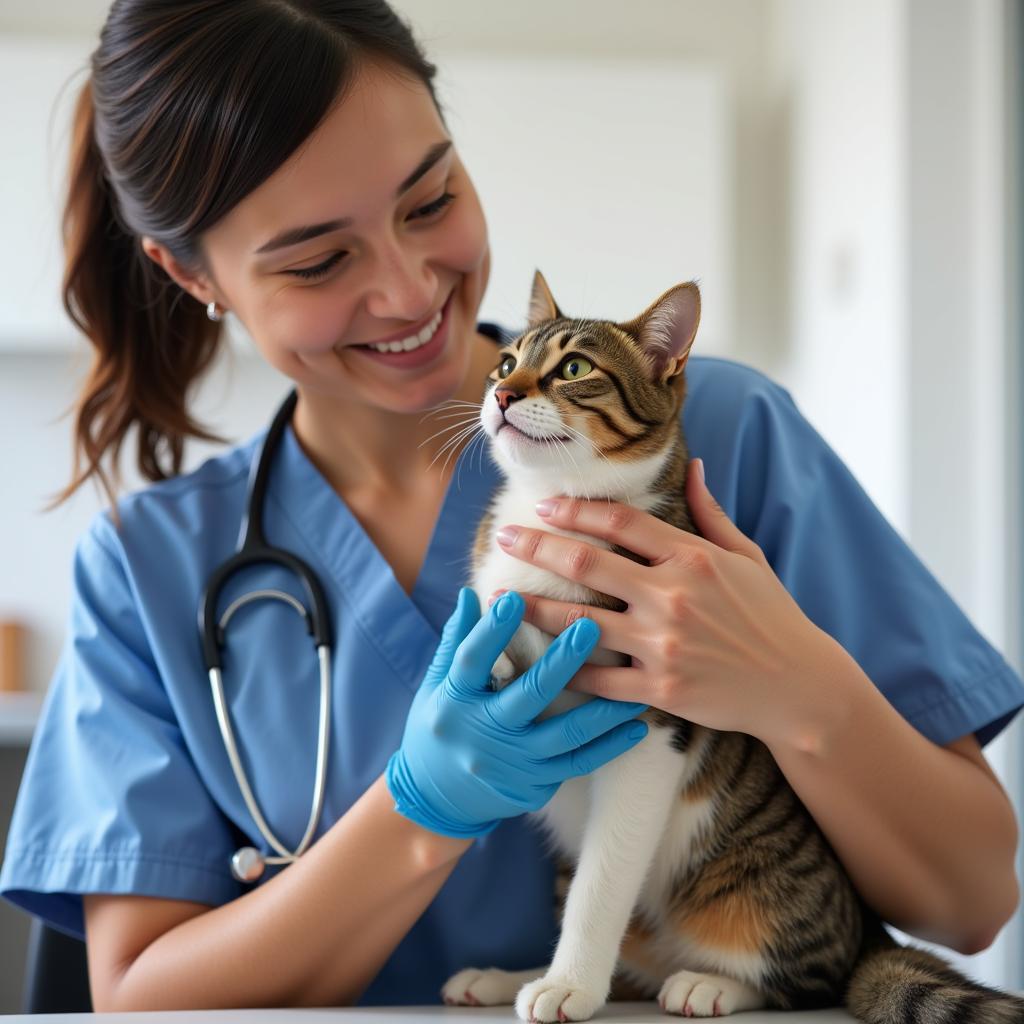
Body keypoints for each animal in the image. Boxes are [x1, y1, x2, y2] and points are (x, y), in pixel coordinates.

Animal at [440, 272, 1024, 1024]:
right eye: (508, 362)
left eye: (574, 369)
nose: (503, 395)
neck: (557, 510)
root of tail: (869, 930)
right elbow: (500, 634)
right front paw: (475, 672)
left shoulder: (651, 728)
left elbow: (602, 882)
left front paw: (570, 984)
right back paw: (503, 977)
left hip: (762, 898)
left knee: (808, 978)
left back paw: (708, 984)